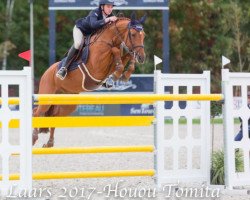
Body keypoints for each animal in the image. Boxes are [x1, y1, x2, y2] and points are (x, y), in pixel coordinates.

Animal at [33, 14, 146, 147]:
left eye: (143, 35)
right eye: (133, 34)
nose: (142, 58)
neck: (107, 40)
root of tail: (47, 72)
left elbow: (126, 55)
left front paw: (123, 75)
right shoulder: (98, 66)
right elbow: (115, 50)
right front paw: (117, 74)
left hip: (68, 104)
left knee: (53, 117)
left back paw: (49, 143)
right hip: (48, 97)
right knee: (37, 112)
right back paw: (34, 137)